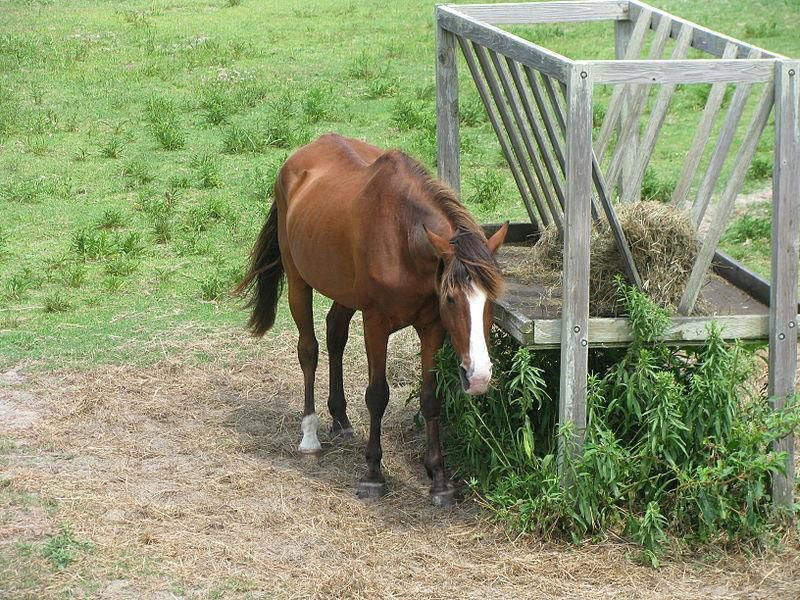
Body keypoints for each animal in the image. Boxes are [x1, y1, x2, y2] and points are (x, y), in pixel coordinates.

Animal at [234, 134, 506, 504]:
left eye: (491, 299)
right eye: (451, 298)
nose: (478, 376)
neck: (403, 238)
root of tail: (297, 159)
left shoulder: (431, 327)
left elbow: (430, 398)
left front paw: (439, 479)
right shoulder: (376, 323)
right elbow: (377, 395)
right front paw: (374, 474)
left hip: (343, 291)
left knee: (335, 333)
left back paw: (340, 419)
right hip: (298, 281)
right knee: (309, 350)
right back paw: (310, 436)